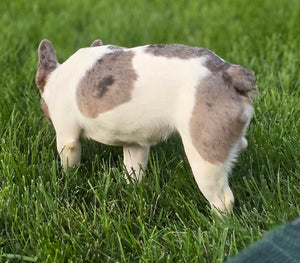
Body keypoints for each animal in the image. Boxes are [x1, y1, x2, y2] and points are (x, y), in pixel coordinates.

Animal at [35, 39, 255, 214]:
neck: (56, 75)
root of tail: (228, 73)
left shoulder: (66, 136)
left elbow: (69, 161)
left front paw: (69, 179)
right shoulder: (135, 143)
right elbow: (133, 168)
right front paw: (131, 188)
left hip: (204, 153)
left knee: (223, 199)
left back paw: (219, 225)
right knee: (241, 144)